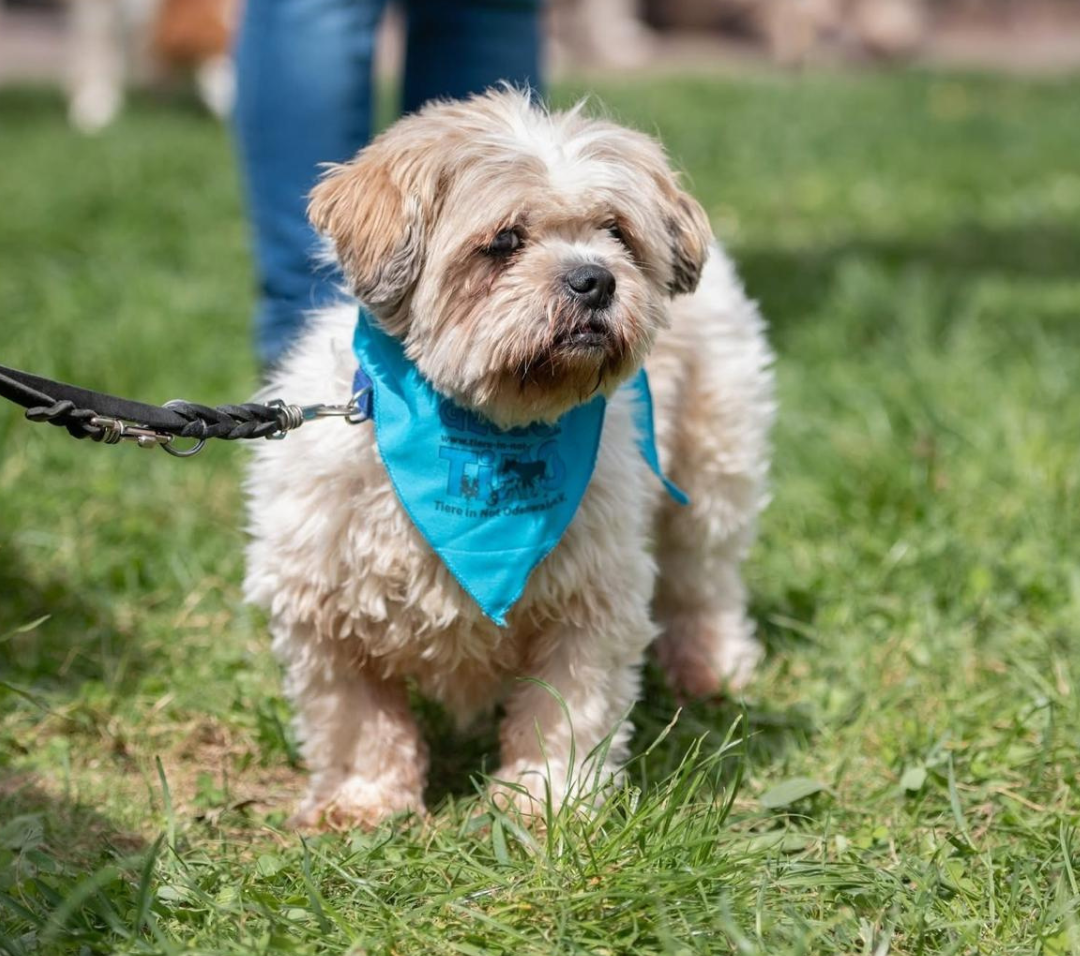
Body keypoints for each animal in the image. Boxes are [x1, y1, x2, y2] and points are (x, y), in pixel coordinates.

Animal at [244, 90, 775, 829]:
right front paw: (362, 801)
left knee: (705, 582)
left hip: (713, 468)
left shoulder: (590, 599)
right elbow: (356, 719)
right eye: (503, 241)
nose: (594, 278)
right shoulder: (323, 606)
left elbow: (566, 709)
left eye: (616, 233)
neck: (486, 423)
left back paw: (712, 667)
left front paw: (544, 799)